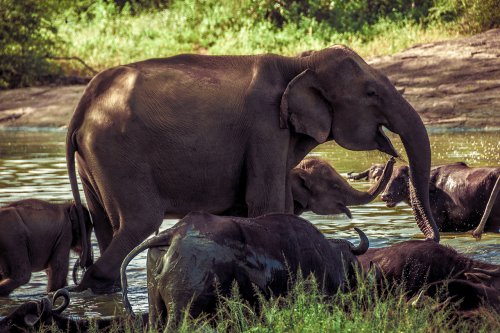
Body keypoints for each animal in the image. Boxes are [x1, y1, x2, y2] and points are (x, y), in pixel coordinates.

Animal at [66, 45, 438, 292]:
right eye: (371, 93)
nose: (431, 239)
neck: (300, 62)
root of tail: (83, 104)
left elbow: (261, 206)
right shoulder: (265, 128)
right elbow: (266, 203)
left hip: (94, 160)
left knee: (105, 224)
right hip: (117, 152)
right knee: (139, 222)